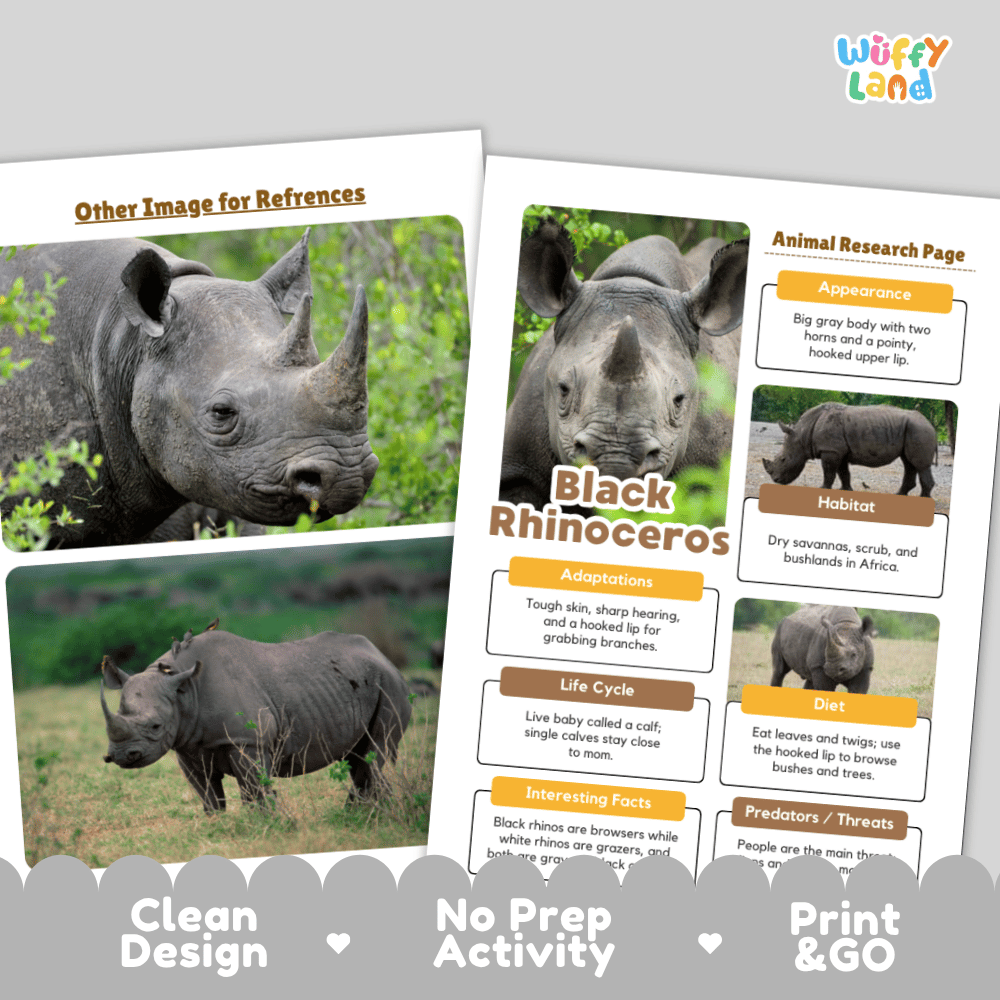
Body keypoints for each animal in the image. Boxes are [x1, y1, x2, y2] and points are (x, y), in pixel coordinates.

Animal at [100, 622, 412, 810]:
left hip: (390, 685)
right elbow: (208, 795)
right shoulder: (186, 746)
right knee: (358, 757)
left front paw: (265, 826)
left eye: (156, 726)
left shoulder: (248, 741)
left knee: (375, 752)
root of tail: (382, 655)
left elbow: (253, 790)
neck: (182, 689)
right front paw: (218, 828)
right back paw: (357, 814)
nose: (122, 756)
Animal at [762, 402, 938, 496]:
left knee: (919, 465)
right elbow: (843, 473)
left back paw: (921, 499)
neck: (802, 433)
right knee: (909, 463)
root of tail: (931, 425)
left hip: (919, 430)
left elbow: (829, 473)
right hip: (913, 429)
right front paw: (846, 490)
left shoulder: (830, 450)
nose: (775, 480)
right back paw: (899, 495)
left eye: (783, 459)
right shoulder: (837, 451)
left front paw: (823, 489)